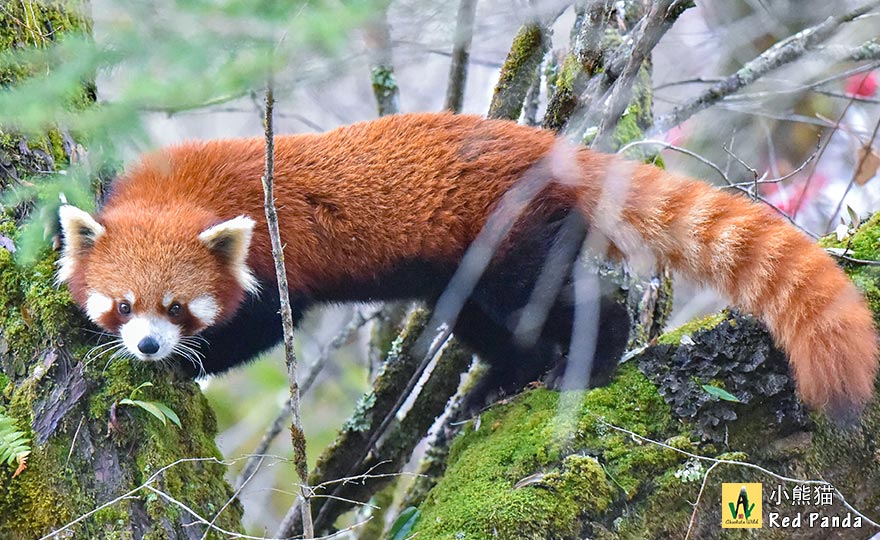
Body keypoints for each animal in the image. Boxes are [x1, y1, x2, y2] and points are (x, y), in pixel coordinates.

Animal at [58, 112, 876, 420]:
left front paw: (182, 364)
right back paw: (499, 382)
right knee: (487, 323)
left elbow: (253, 329)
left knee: (563, 306)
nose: (147, 344)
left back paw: (589, 361)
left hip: (513, 240)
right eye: (124, 305)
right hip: (467, 271)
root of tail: (554, 149)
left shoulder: (275, 265)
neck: (185, 190)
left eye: (176, 307)